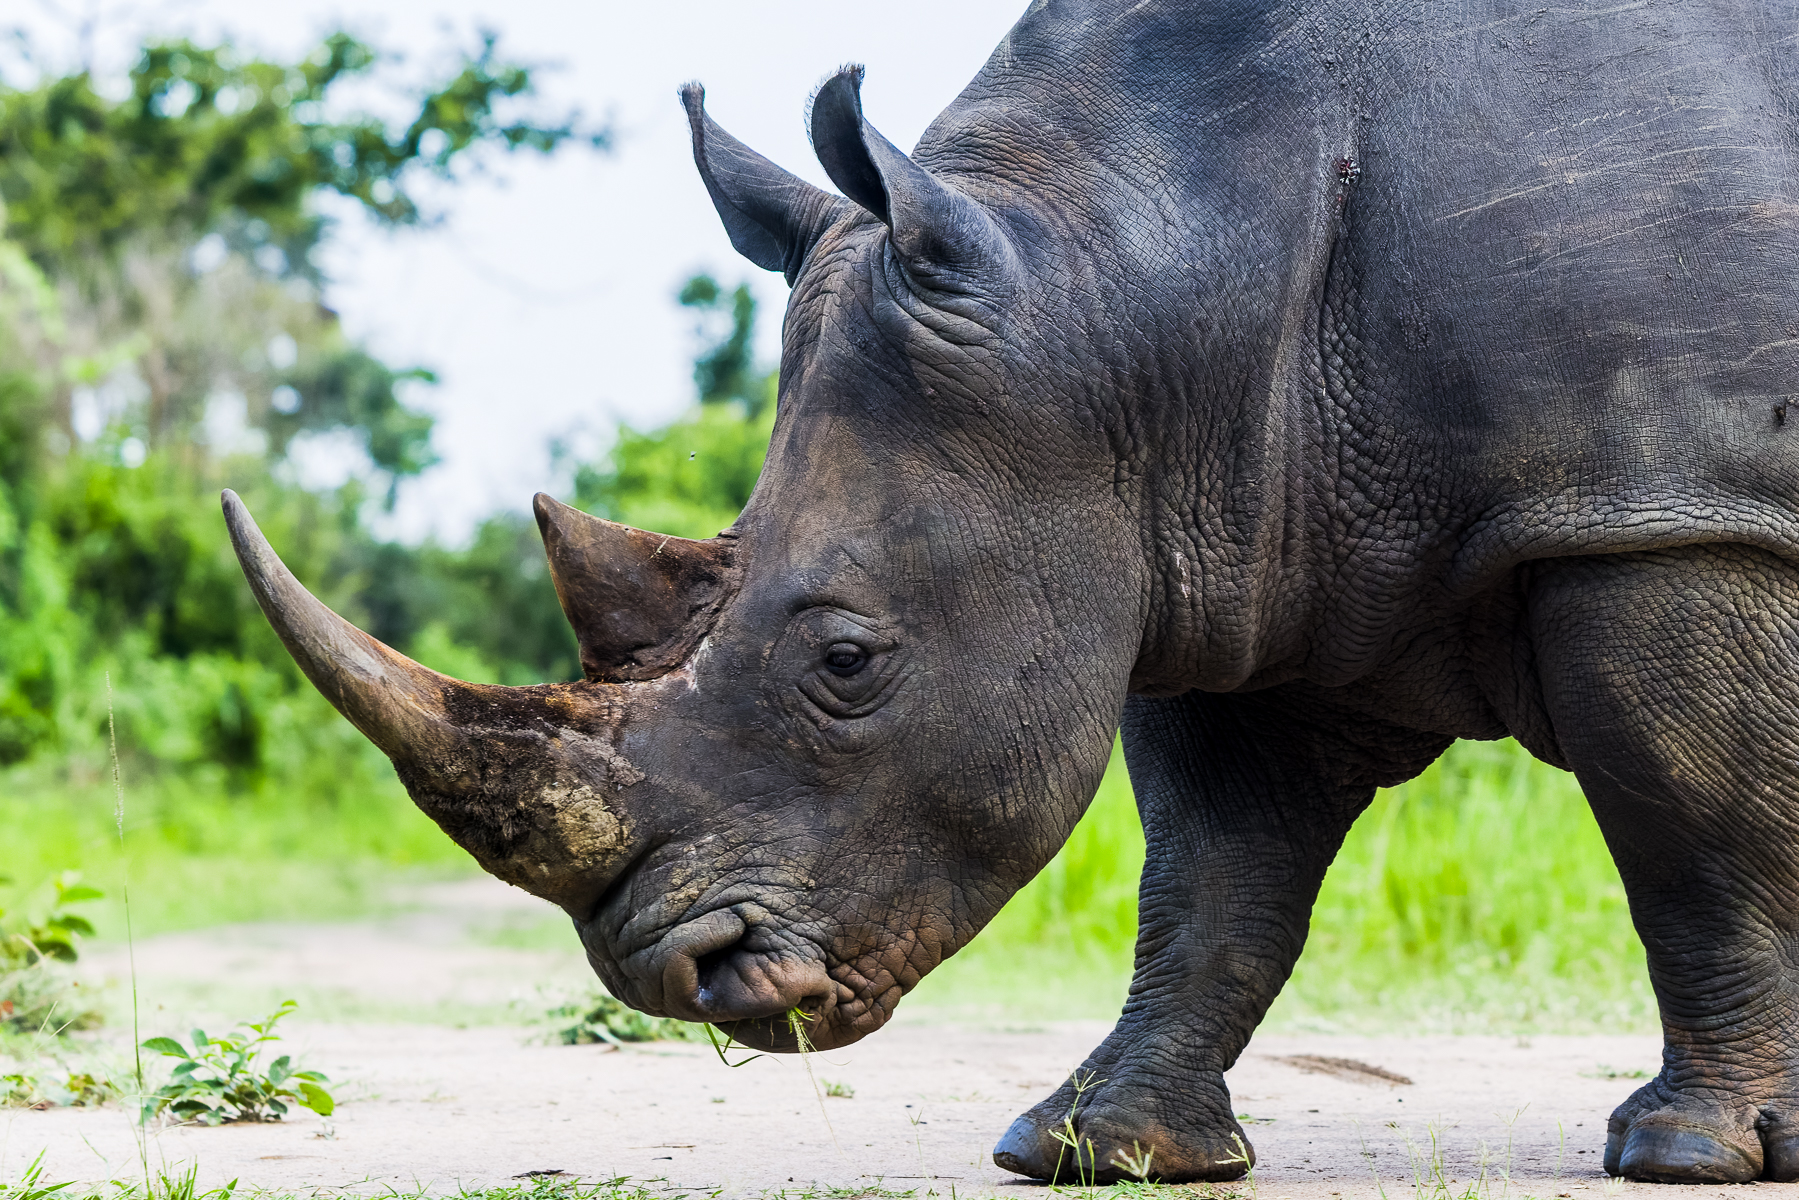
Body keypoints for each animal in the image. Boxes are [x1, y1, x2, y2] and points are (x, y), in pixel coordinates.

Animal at [225, 0, 1799, 1185]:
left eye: (847, 661)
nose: (678, 977)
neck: (1144, 276)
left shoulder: (1657, 512)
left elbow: (1690, 820)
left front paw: (1690, 1152)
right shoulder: (1233, 539)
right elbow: (1214, 871)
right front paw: (1092, 1150)